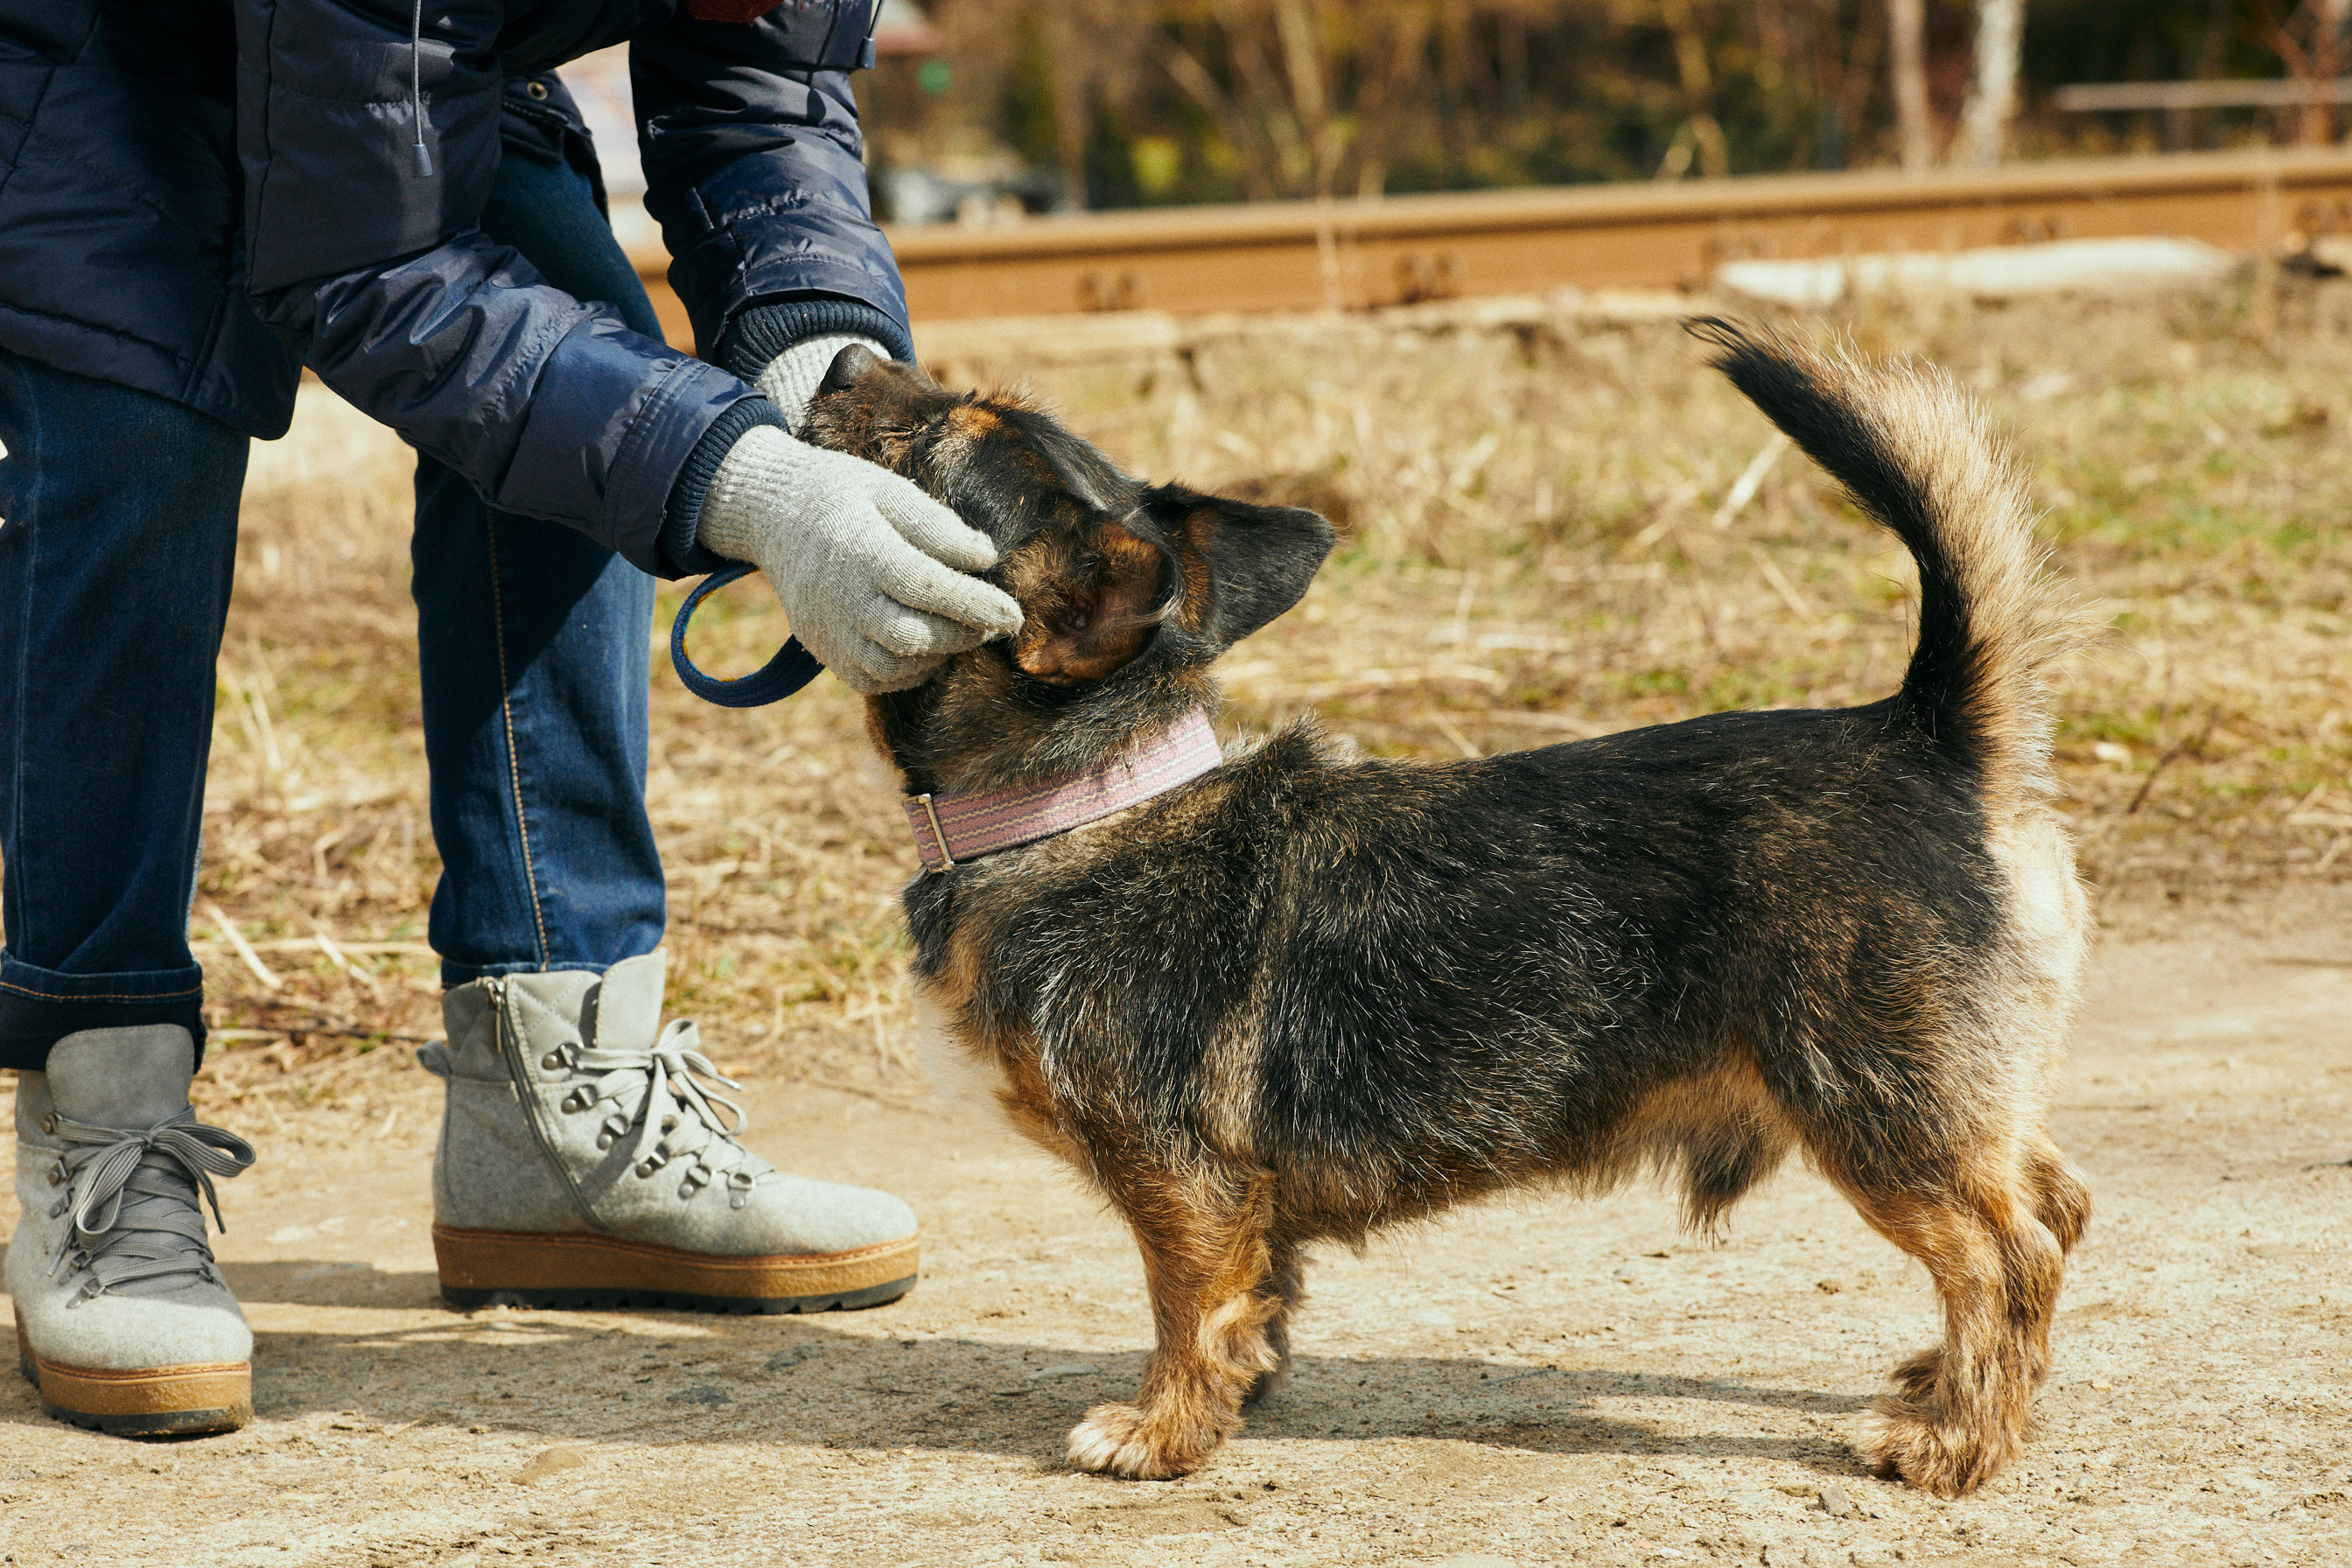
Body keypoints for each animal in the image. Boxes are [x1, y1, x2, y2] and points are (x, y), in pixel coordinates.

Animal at [798, 321, 2092, 1498]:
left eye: (923, 444)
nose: (841, 359)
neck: (1088, 796)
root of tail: (1926, 731)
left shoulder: (1180, 1183)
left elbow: (1186, 1308)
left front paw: (1162, 1429)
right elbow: (1258, 1303)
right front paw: (1239, 1399)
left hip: (1875, 1105)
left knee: (2005, 1256)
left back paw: (1958, 1442)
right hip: (1956, 1099)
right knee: (2056, 1204)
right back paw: (1953, 1384)